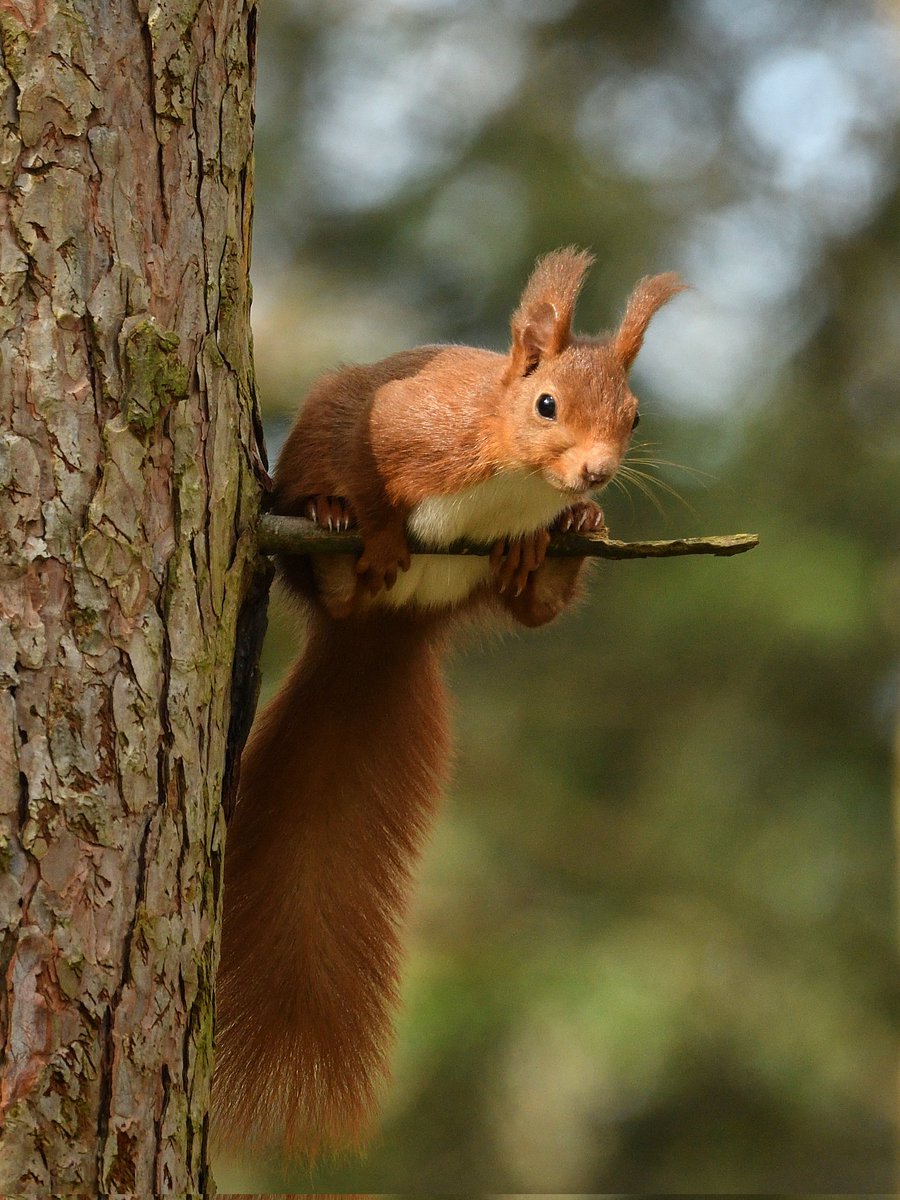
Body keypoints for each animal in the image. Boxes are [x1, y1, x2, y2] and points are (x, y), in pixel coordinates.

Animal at [217, 250, 681, 1152]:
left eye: (635, 416)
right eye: (545, 404)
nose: (596, 472)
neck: (512, 475)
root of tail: (387, 631)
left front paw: (565, 521)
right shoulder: (400, 423)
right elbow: (367, 461)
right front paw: (370, 520)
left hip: (479, 589)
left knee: (536, 610)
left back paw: (559, 546)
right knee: (331, 563)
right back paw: (335, 534)